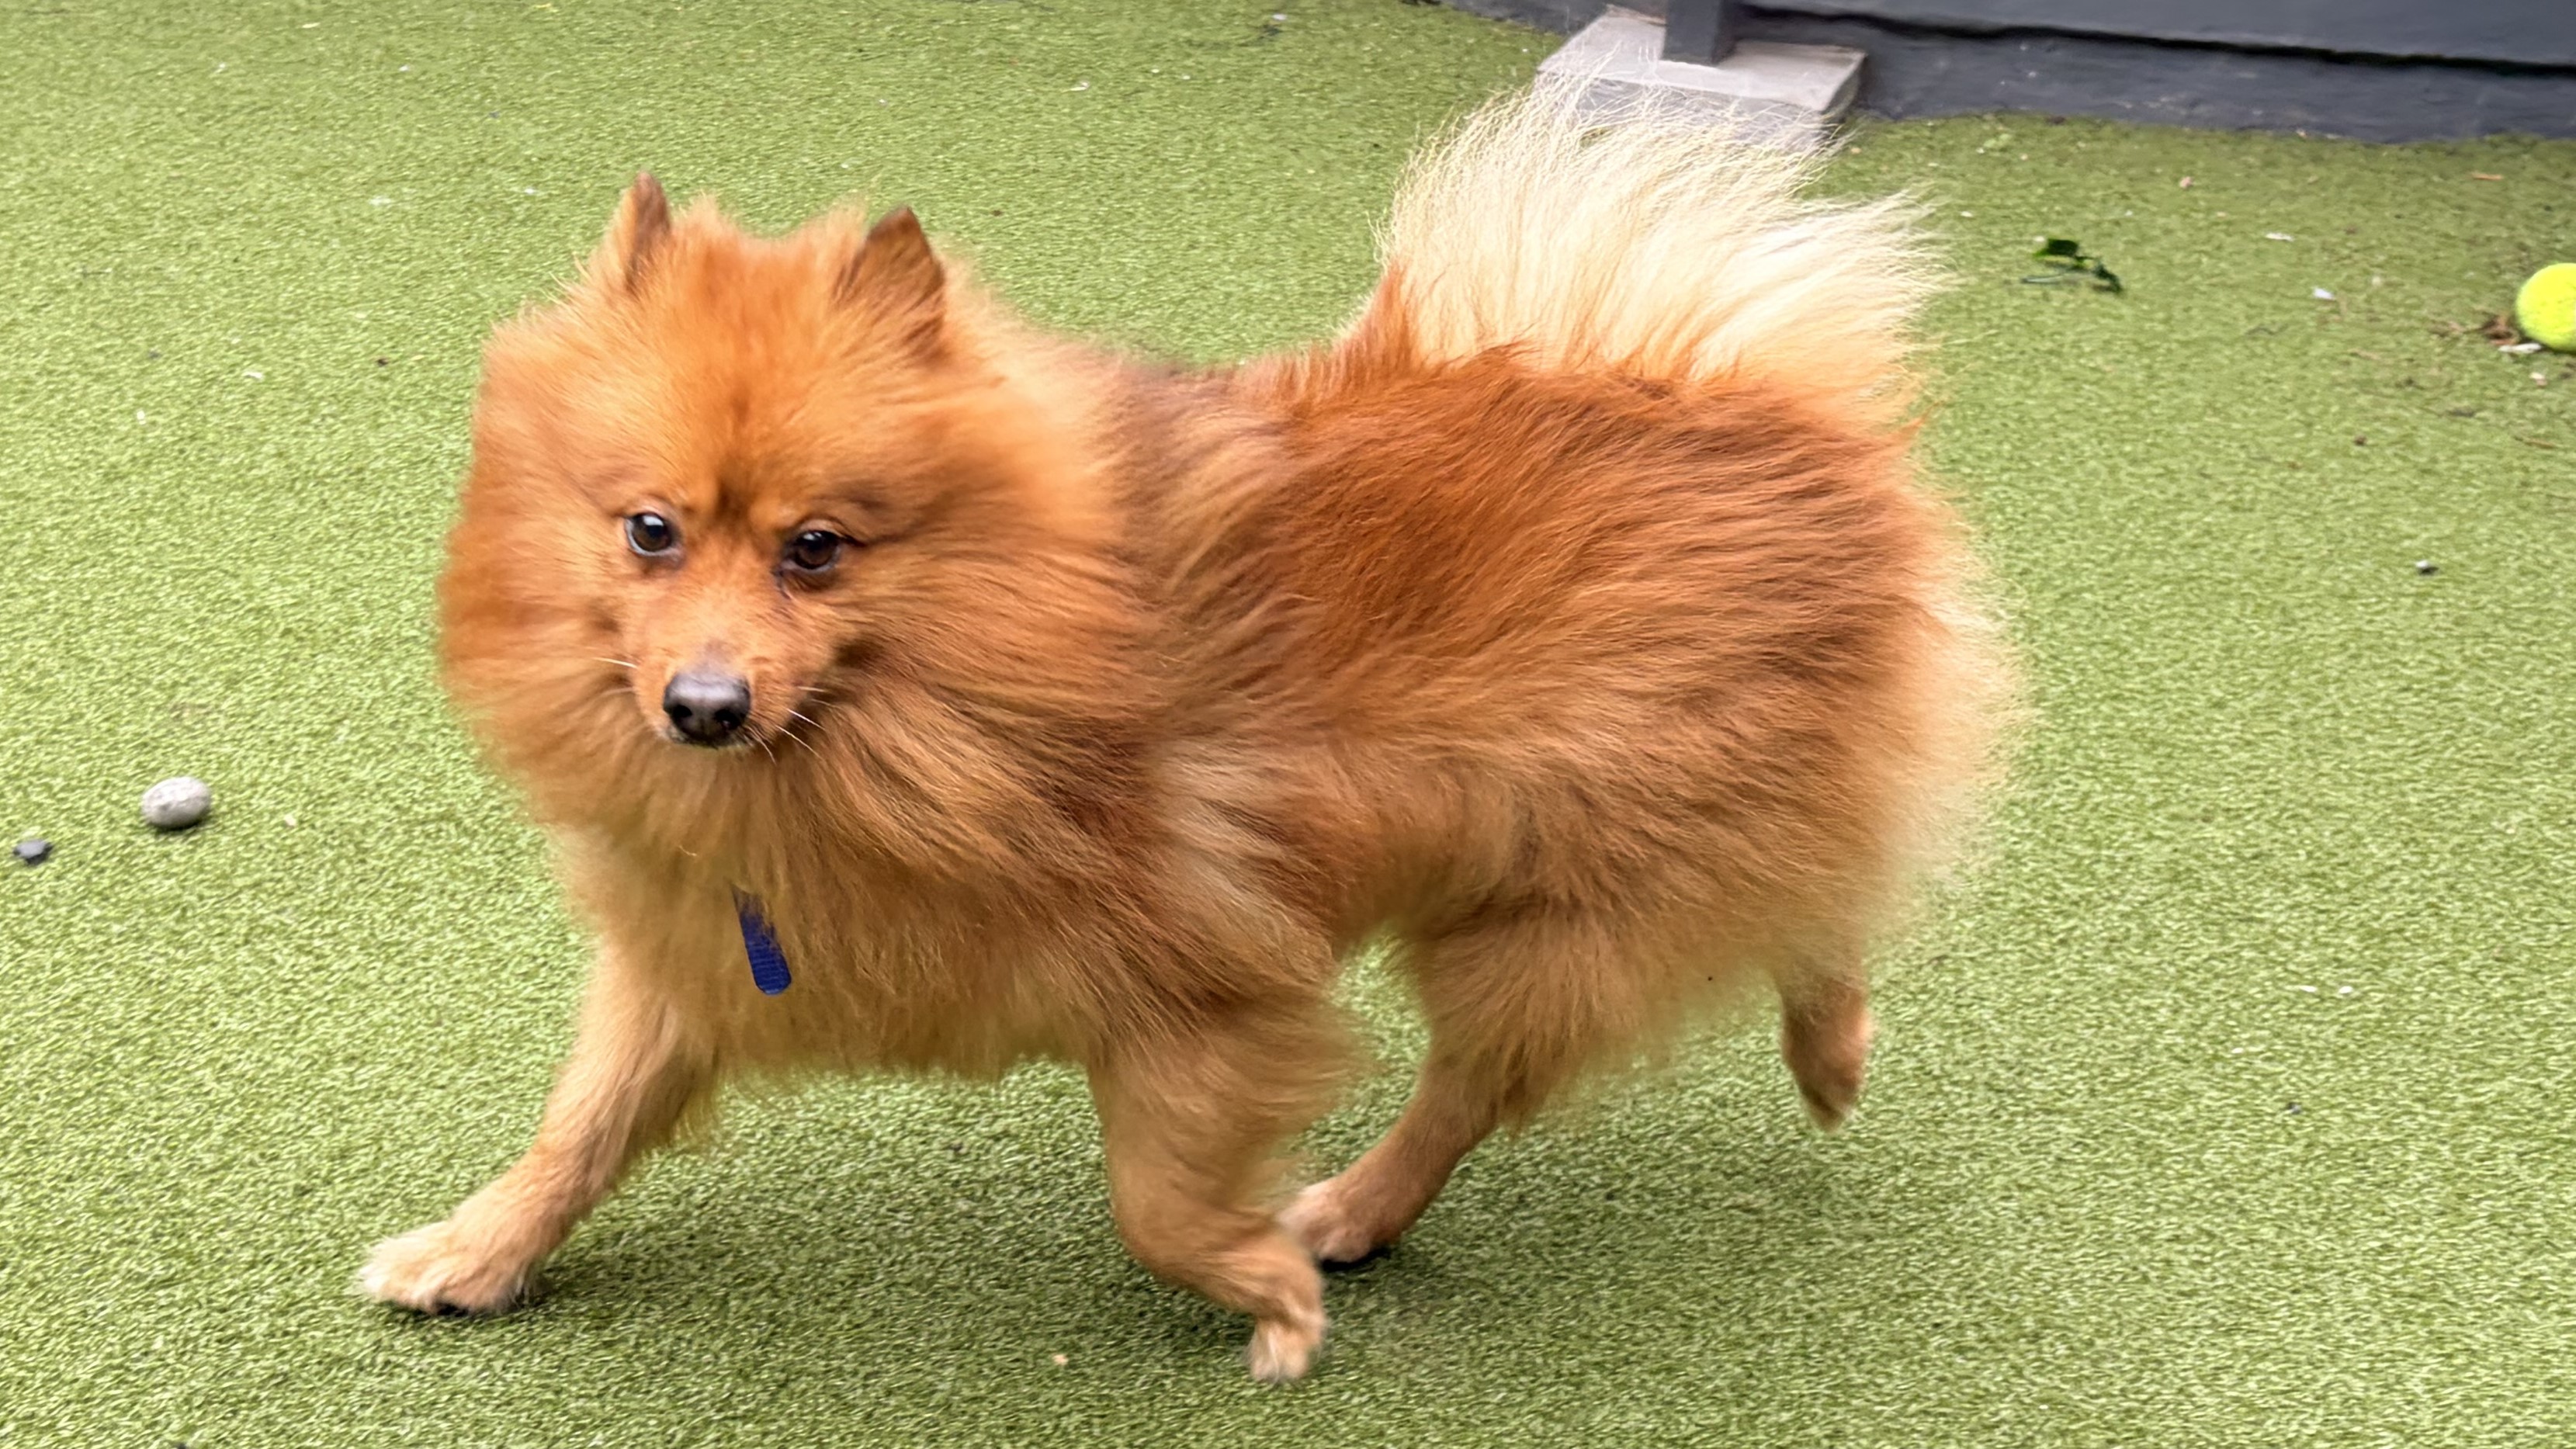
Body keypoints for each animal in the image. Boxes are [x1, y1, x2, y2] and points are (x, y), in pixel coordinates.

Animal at [360, 89, 2008, 1381]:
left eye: (814, 550)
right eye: (649, 532)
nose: (702, 708)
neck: (921, 720)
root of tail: (1750, 395)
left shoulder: (1194, 989)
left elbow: (1154, 1203)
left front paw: (1262, 1291)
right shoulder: (699, 948)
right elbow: (581, 1124)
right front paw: (477, 1250)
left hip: (1568, 895)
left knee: (1633, 998)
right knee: (1783, 913)